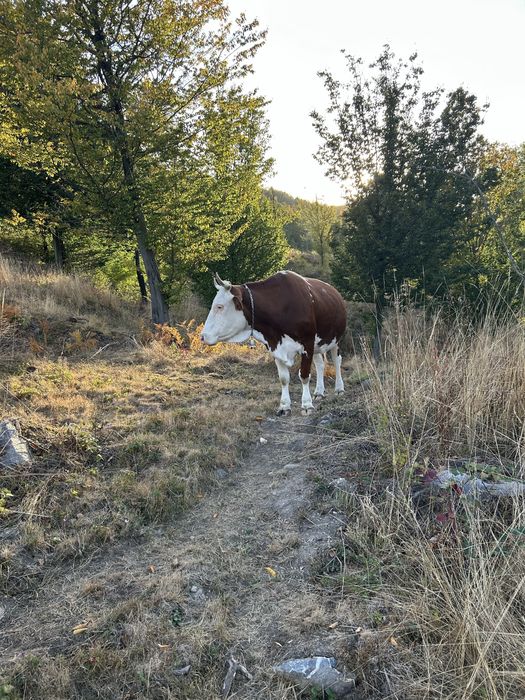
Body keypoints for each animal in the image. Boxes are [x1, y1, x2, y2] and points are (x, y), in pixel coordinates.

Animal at [201, 270, 346, 415]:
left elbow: (304, 375)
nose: (203, 336)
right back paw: (319, 392)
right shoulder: (276, 346)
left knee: (337, 360)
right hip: (317, 344)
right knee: (320, 364)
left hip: (336, 339)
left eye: (219, 306)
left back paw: (339, 389)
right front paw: (284, 406)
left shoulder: (307, 343)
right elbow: (283, 378)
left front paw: (306, 405)